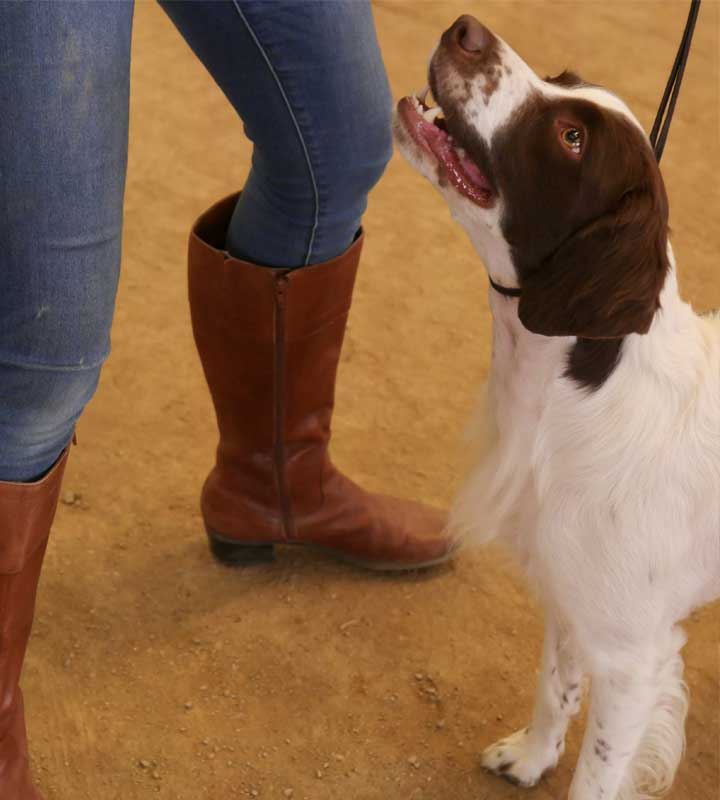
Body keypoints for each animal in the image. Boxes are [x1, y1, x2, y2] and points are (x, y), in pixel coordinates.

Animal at [394, 12, 720, 800]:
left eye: (572, 138)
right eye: (564, 80)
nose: (466, 28)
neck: (579, 394)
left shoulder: (632, 658)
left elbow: (598, 773)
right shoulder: (570, 591)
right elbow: (555, 685)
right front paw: (531, 756)